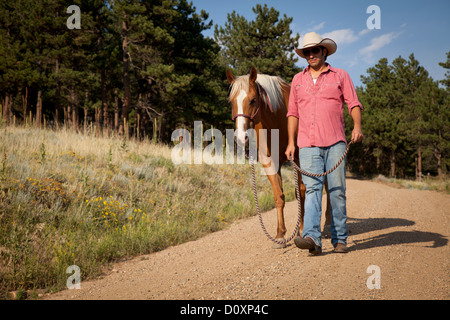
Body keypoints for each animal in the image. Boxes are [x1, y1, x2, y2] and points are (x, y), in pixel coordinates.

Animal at [227, 67, 332, 248]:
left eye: (253, 100)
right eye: (231, 102)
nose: (241, 137)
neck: (279, 120)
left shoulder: (299, 160)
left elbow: (301, 193)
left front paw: (302, 229)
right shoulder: (270, 162)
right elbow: (279, 196)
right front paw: (280, 235)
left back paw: (327, 226)